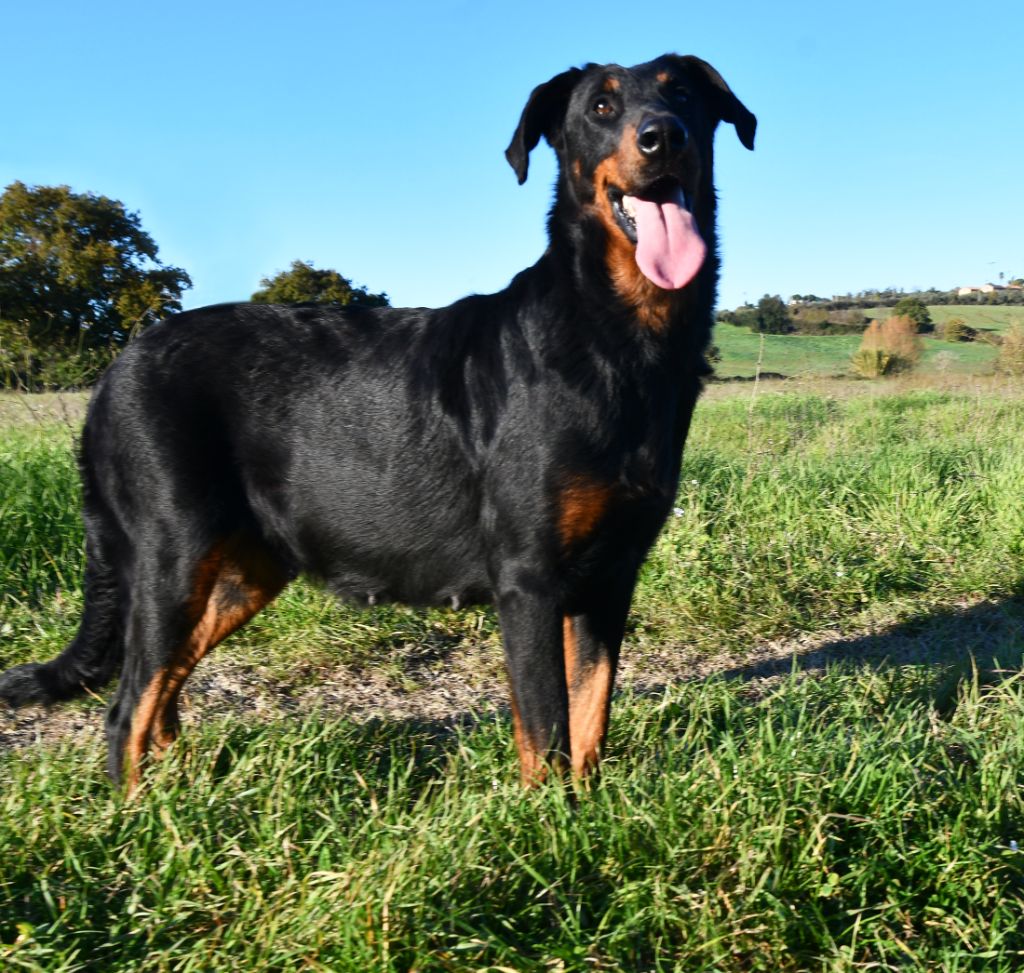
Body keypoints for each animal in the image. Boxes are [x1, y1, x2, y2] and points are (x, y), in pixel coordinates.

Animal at [0, 55, 753, 790]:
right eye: (600, 106)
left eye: (683, 97)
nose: (662, 137)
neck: (619, 336)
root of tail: (113, 372)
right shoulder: (530, 579)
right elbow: (547, 733)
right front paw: (551, 821)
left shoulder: (611, 577)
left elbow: (590, 715)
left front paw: (589, 809)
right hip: (170, 556)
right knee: (128, 708)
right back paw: (142, 815)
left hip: (241, 570)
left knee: (163, 694)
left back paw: (181, 798)